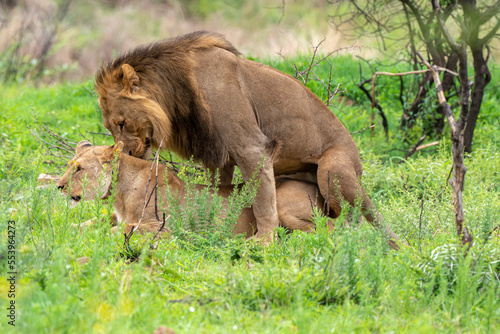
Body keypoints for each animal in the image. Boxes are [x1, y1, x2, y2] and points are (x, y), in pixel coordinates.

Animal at [56, 141, 334, 237]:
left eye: (79, 169)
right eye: (69, 166)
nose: (58, 186)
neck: (119, 192)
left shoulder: (163, 225)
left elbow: (120, 229)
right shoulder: (115, 215)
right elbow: (91, 222)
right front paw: (63, 229)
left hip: (285, 206)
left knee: (329, 228)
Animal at [95, 30, 400, 245]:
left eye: (121, 123)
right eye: (110, 128)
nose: (126, 155)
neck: (177, 94)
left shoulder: (251, 147)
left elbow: (262, 200)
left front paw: (263, 242)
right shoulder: (218, 157)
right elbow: (218, 189)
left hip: (332, 168)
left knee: (362, 217)